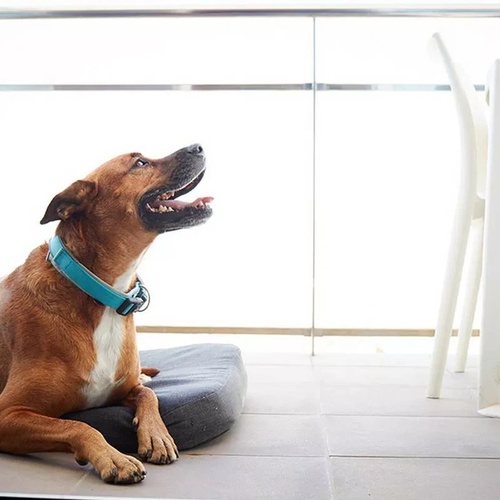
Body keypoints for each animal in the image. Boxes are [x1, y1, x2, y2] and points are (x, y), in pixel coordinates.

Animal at [0, 145, 213, 484]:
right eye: (140, 163)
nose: (199, 147)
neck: (103, 296)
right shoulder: (8, 414)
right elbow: (78, 425)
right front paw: (114, 458)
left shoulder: (126, 389)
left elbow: (148, 395)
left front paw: (157, 436)